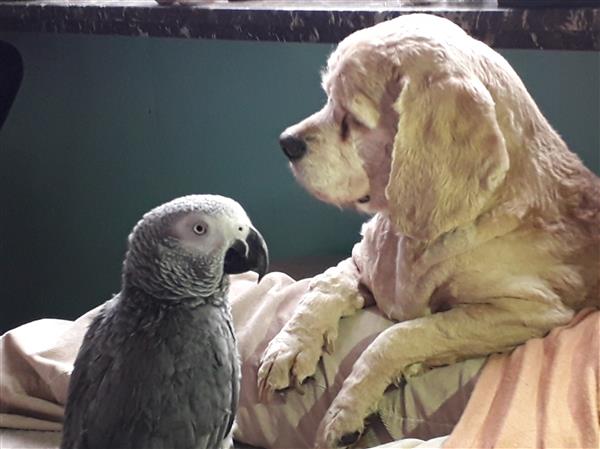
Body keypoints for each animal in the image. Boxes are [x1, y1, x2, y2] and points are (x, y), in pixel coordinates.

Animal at [255, 14, 596, 448]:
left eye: (352, 118)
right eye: (328, 99)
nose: (286, 143)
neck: (411, 238)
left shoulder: (529, 311)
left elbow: (398, 336)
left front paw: (344, 413)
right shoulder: (361, 261)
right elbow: (322, 289)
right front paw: (289, 346)